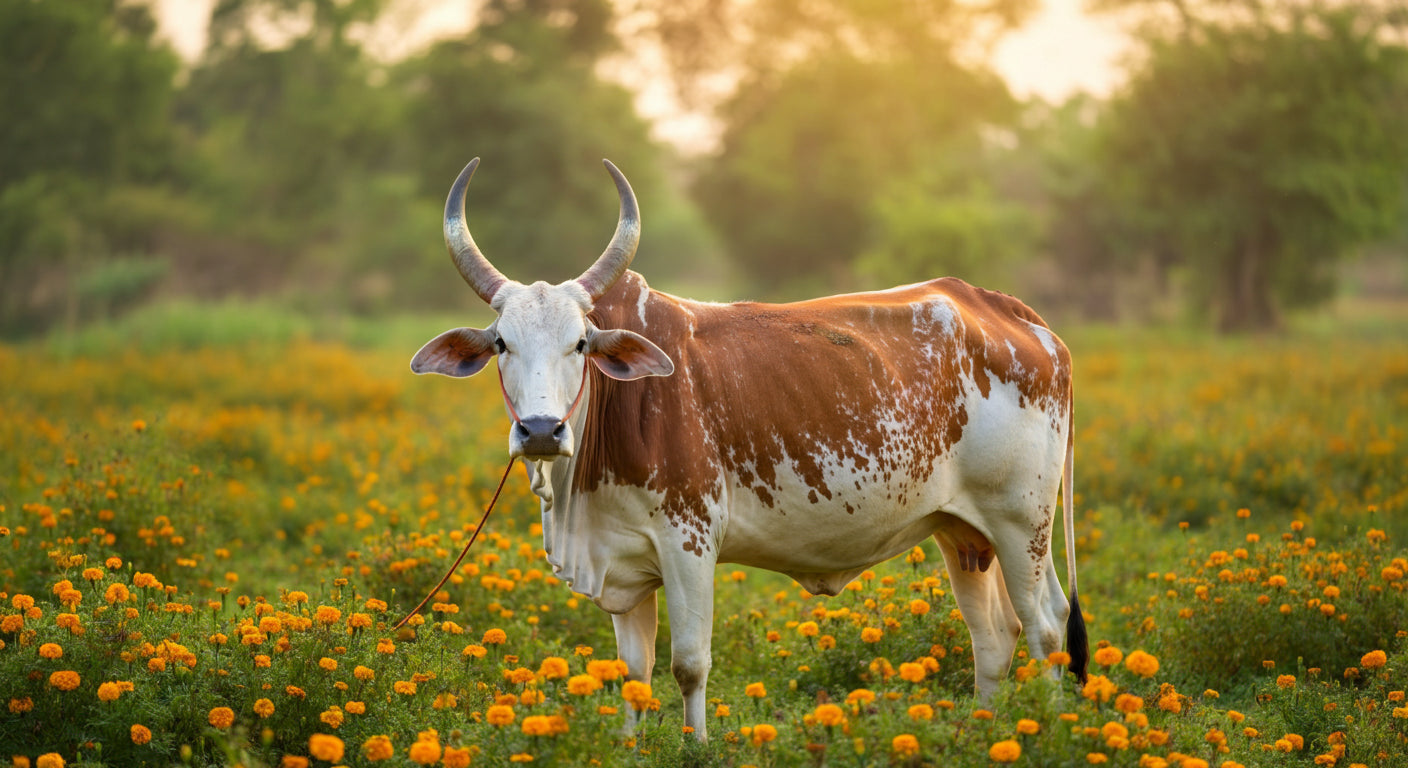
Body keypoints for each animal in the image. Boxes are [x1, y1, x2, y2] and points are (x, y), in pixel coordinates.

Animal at [411, 158, 1089, 740]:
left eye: (581, 342)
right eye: (502, 343)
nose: (541, 430)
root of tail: (1007, 311)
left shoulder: (689, 544)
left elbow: (688, 664)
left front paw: (695, 746)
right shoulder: (624, 562)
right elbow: (633, 675)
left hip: (1021, 522)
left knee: (1045, 629)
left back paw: (1046, 728)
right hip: (963, 532)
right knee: (996, 636)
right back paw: (984, 730)